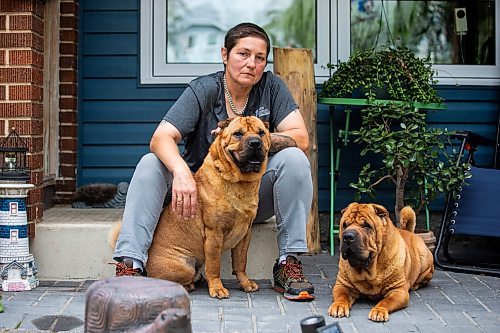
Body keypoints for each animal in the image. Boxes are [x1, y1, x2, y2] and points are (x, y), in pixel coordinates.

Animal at [110, 116, 272, 298]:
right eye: (238, 134)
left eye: (261, 132)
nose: (255, 143)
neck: (240, 183)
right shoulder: (214, 232)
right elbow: (214, 265)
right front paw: (217, 288)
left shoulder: (244, 234)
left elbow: (240, 262)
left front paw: (245, 283)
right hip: (184, 266)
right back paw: (188, 285)